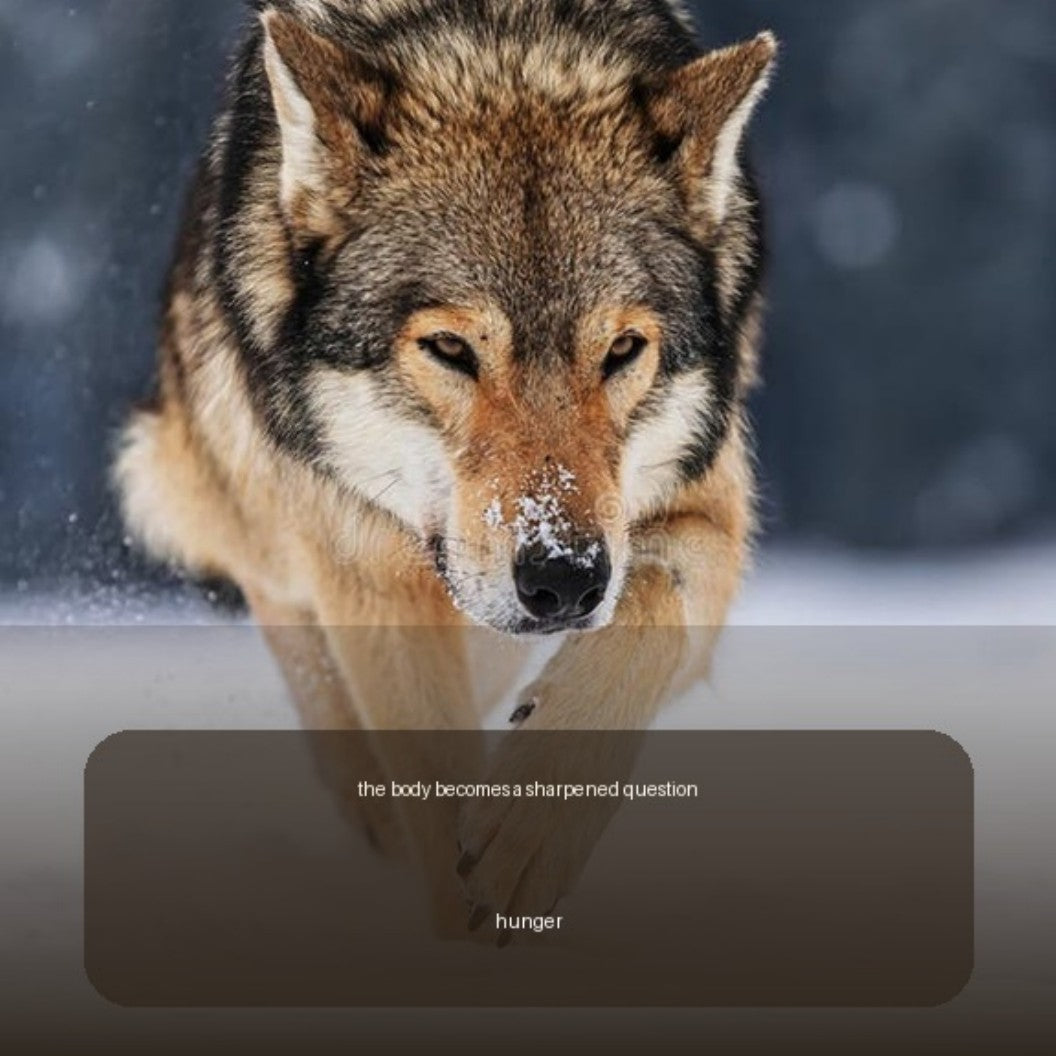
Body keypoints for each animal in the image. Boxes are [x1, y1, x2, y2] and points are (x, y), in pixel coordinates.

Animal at [115, 0, 776, 935]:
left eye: (621, 351)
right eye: (451, 349)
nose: (564, 579)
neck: (503, 49)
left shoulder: (705, 504)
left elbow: (657, 599)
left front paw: (530, 833)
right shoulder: (363, 564)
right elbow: (424, 766)